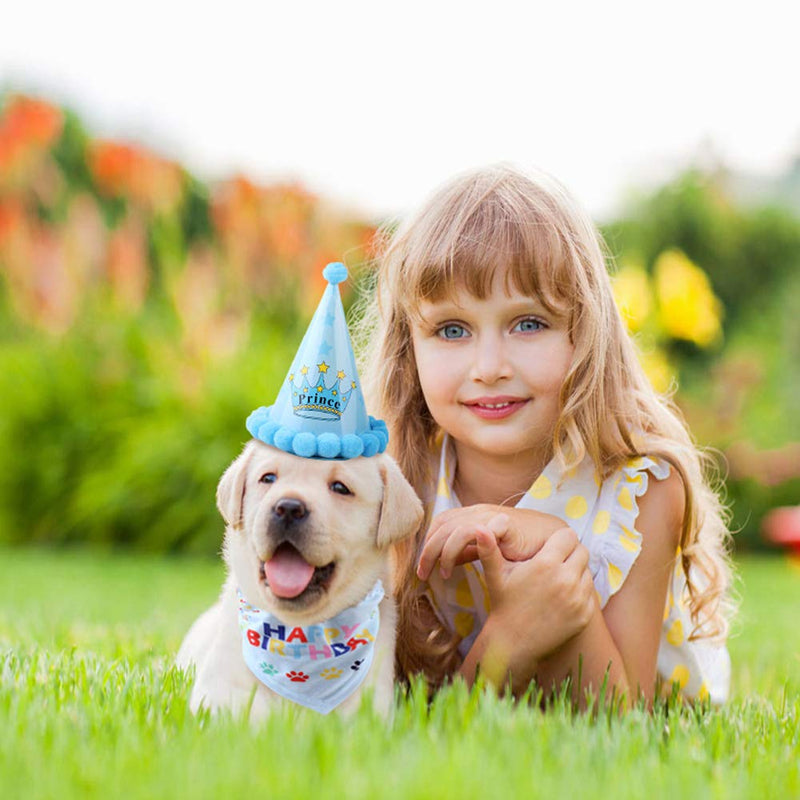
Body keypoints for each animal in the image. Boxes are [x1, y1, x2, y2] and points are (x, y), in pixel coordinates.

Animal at [177, 440, 422, 720]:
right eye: (268, 478)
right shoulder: (219, 688)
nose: (289, 508)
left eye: (340, 488)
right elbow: (250, 714)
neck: (297, 630)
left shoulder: (372, 702)